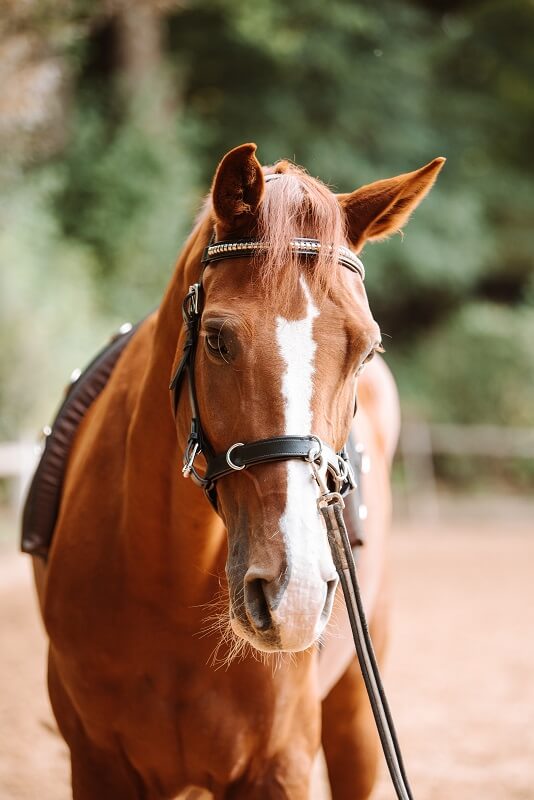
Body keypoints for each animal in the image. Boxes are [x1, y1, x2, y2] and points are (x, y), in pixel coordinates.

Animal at [31, 145, 446, 800]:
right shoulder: (97, 765)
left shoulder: (280, 766)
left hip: (357, 711)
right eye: (218, 340)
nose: (295, 597)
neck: (167, 584)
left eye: (366, 350)